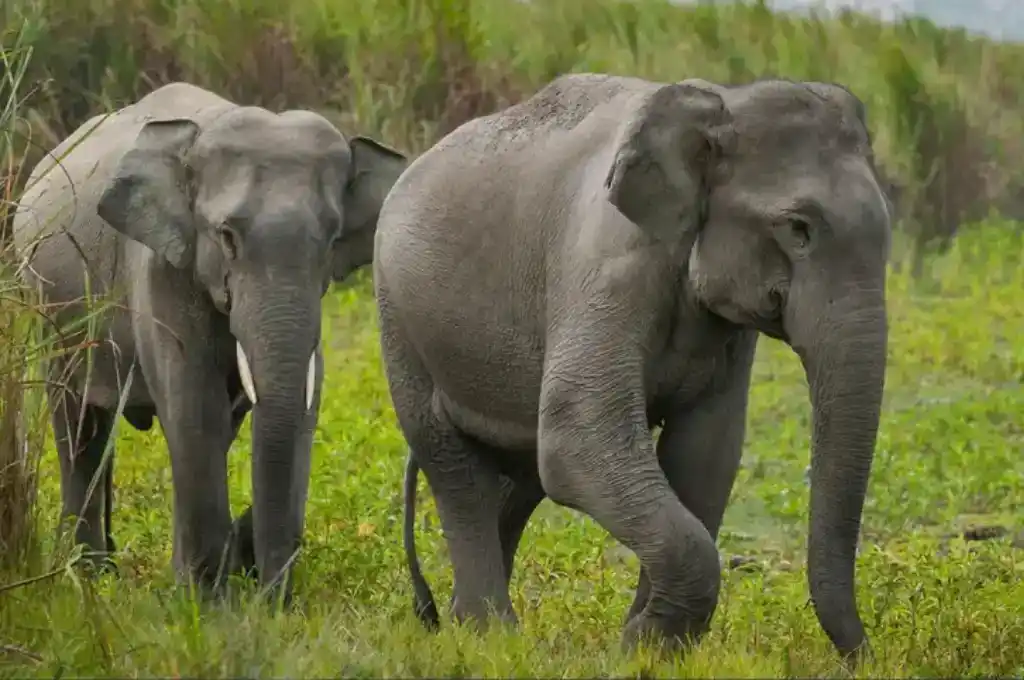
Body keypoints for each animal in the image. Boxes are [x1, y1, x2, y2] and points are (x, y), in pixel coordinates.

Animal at [12, 82, 407, 600]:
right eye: (226, 236)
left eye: (331, 239)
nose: (269, 596)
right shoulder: (160, 269)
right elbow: (195, 407)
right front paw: (204, 600)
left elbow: (294, 404)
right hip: (47, 309)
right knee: (80, 427)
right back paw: (92, 576)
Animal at [377, 73, 892, 661]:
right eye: (798, 227)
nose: (866, 658)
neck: (721, 103)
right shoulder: (608, 263)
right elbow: (578, 437)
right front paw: (639, 644)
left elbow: (704, 453)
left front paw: (650, 647)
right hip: (398, 318)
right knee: (454, 465)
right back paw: (489, 634)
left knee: (519, 478)